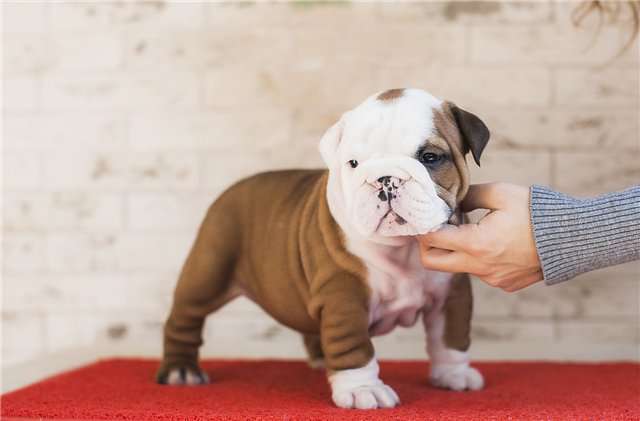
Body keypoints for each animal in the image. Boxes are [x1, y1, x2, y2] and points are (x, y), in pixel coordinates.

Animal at [159, 88, 490, 406]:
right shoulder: (344, 295)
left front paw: (453, 374)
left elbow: (451, 339)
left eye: (430, 157)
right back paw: (181, 369)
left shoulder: (452, 295)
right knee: (185, 319)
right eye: (354, 163)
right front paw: (363, 389)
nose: (385, 179)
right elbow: (353, 346)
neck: (402, 247)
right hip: (208, 271)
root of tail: (229, 192)